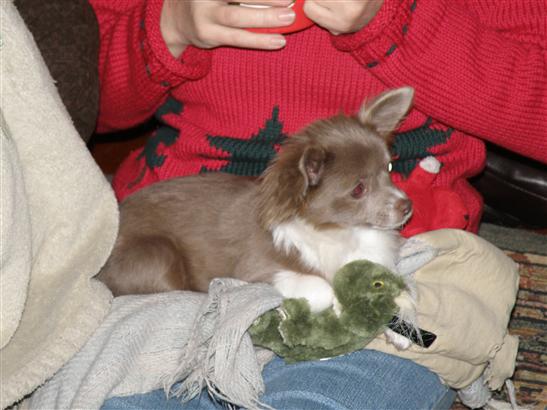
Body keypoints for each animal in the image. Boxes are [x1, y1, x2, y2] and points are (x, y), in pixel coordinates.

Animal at [97, 86, 416, 346]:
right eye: (359, 189)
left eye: (389, 169)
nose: (407, 206)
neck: (342, 232)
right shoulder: (257, 271)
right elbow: (322, 285)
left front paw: (402, 322)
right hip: (158, 253)